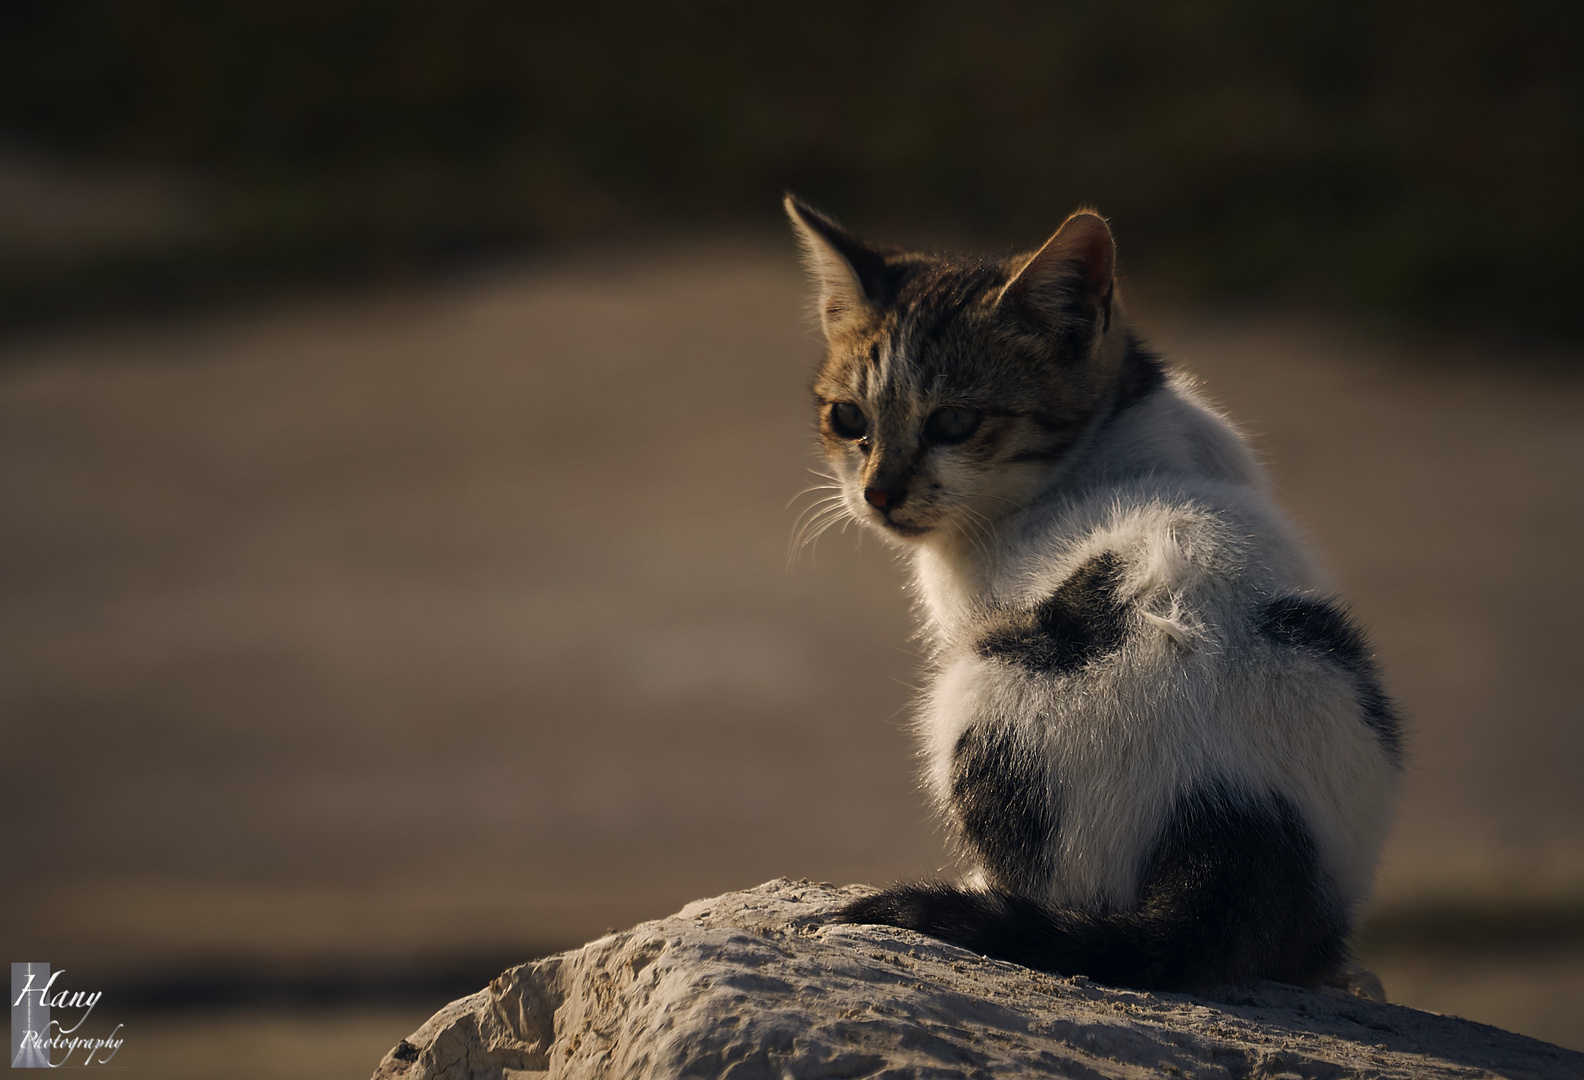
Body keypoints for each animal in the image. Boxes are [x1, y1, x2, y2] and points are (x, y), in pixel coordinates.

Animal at [785, 195, 1406, 994]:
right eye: (849, 419)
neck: (1108, 434)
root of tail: (1230, 820)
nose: (879, 493)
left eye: (954, 420)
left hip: (977, 687)